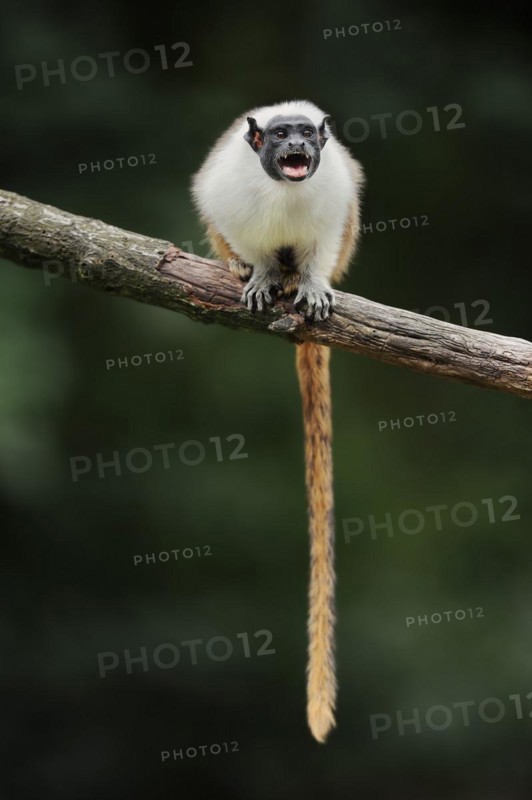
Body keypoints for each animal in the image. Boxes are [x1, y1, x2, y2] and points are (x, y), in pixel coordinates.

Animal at [190, 100, 364, 743]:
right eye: (280, 135)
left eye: (307, 135)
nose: (298, 148)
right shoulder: (228, 190)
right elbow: (231, 220)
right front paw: (262, 271)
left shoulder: (335, 191)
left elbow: (323, 238)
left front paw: (308, 282)